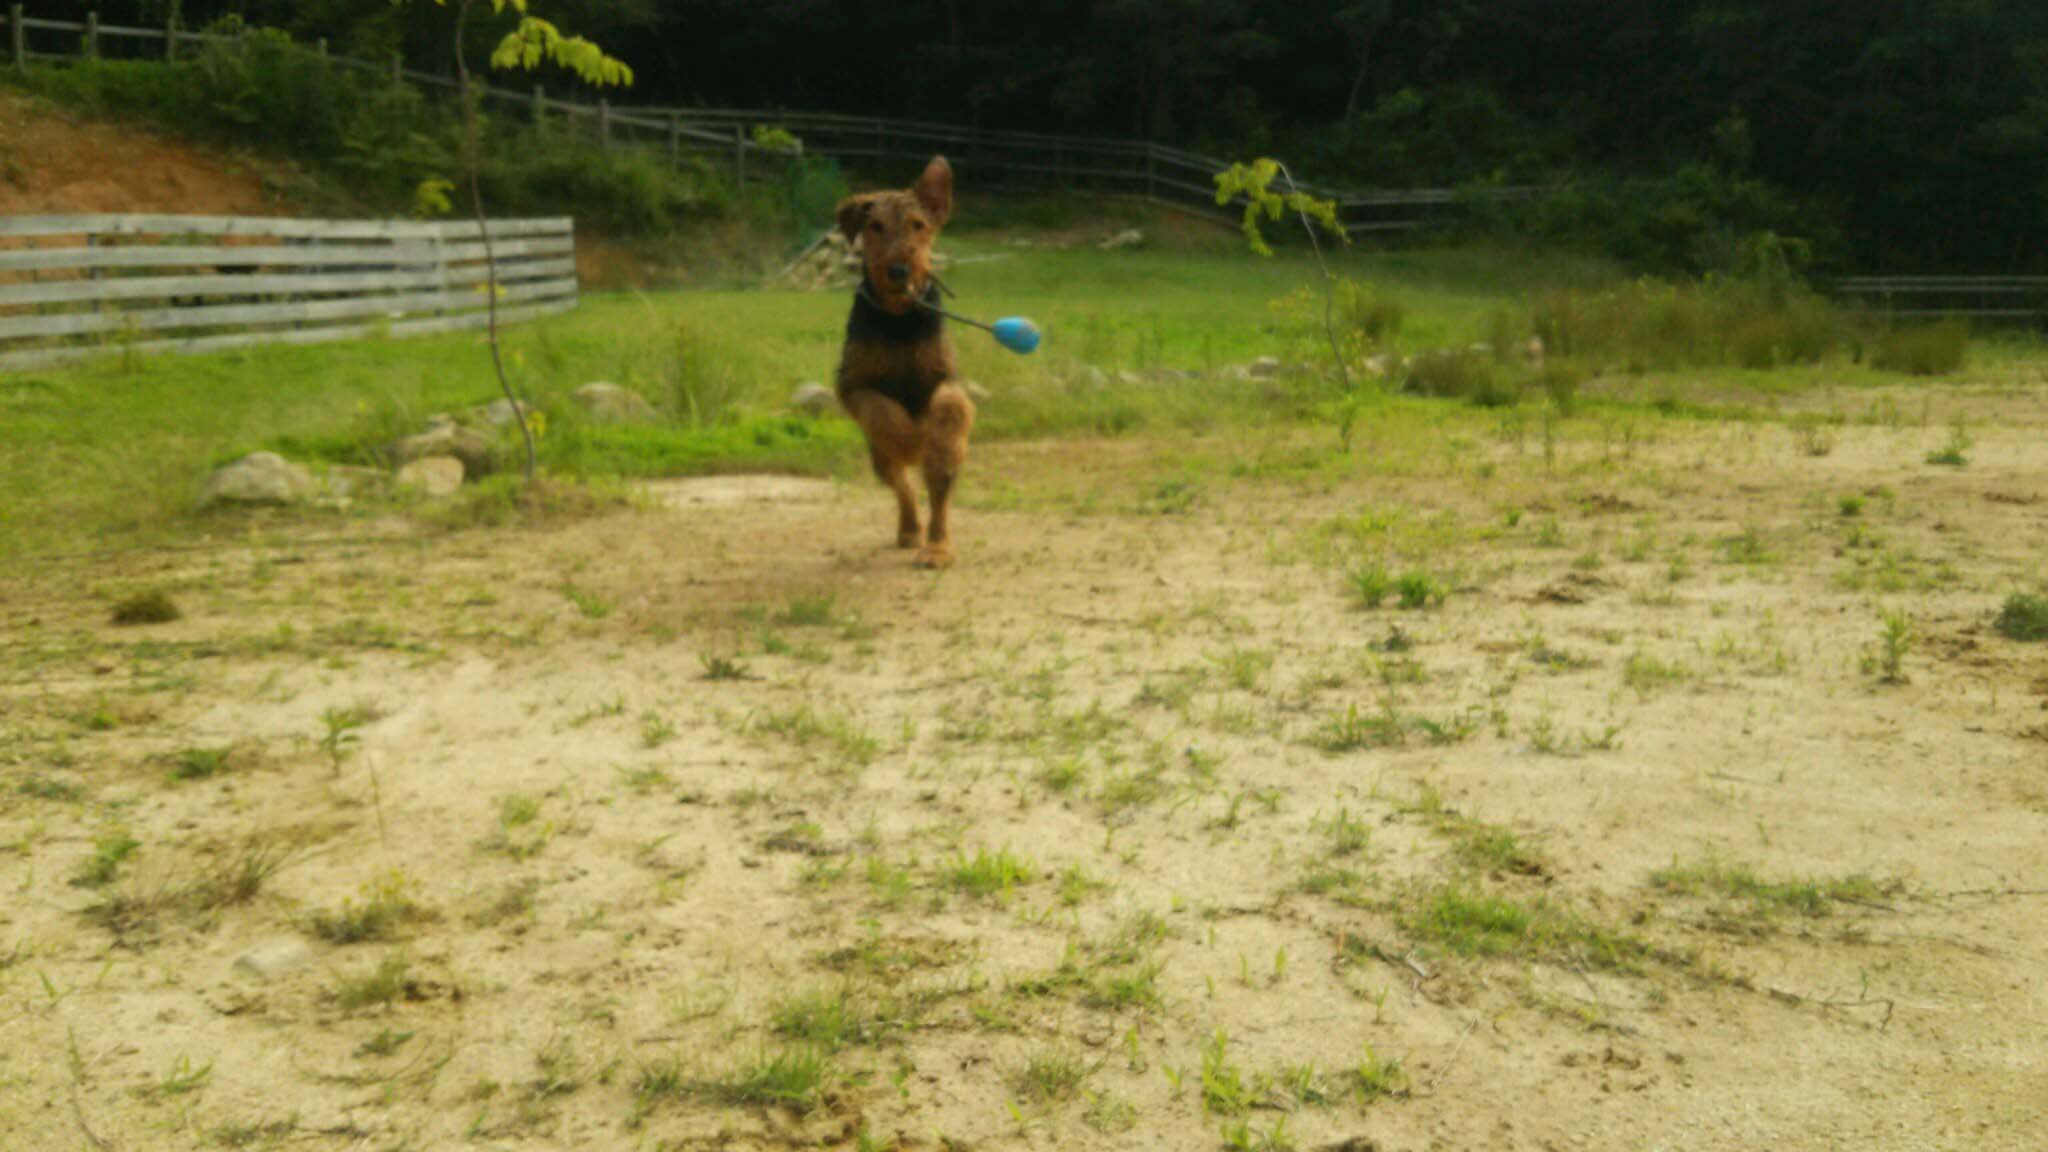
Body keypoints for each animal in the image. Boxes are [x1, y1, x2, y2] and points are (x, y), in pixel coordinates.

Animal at [833, 156, 975, 569]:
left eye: (919, 225)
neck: (898, 318)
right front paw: (910, 438)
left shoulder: (945, 377)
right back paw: (911, 530)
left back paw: (938, 547)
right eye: (875, 227)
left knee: (938, 492)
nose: (899, 270)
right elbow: (883, 413)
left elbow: (949, 406)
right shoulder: (852, 384)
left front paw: (937, 438)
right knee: (903, 485)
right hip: (878, 456)